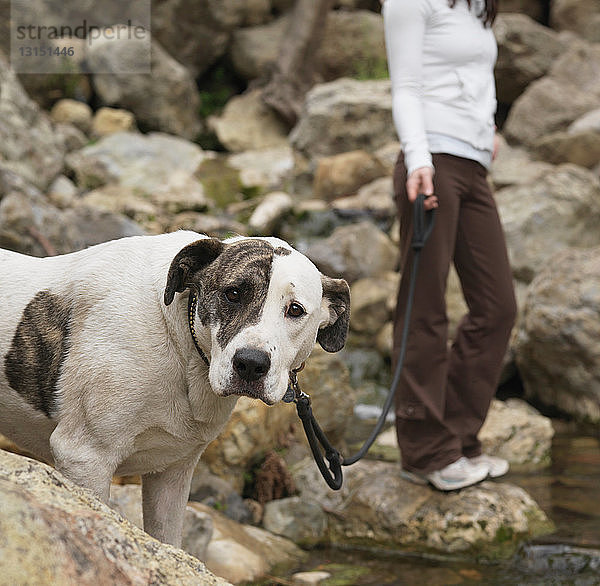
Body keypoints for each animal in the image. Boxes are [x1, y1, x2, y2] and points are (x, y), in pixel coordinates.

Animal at [0, 230, 350, 544]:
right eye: (233, 293)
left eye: (295, 310)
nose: (251, 363)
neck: (181, 346)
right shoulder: (84, 458)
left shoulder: (172, 475)